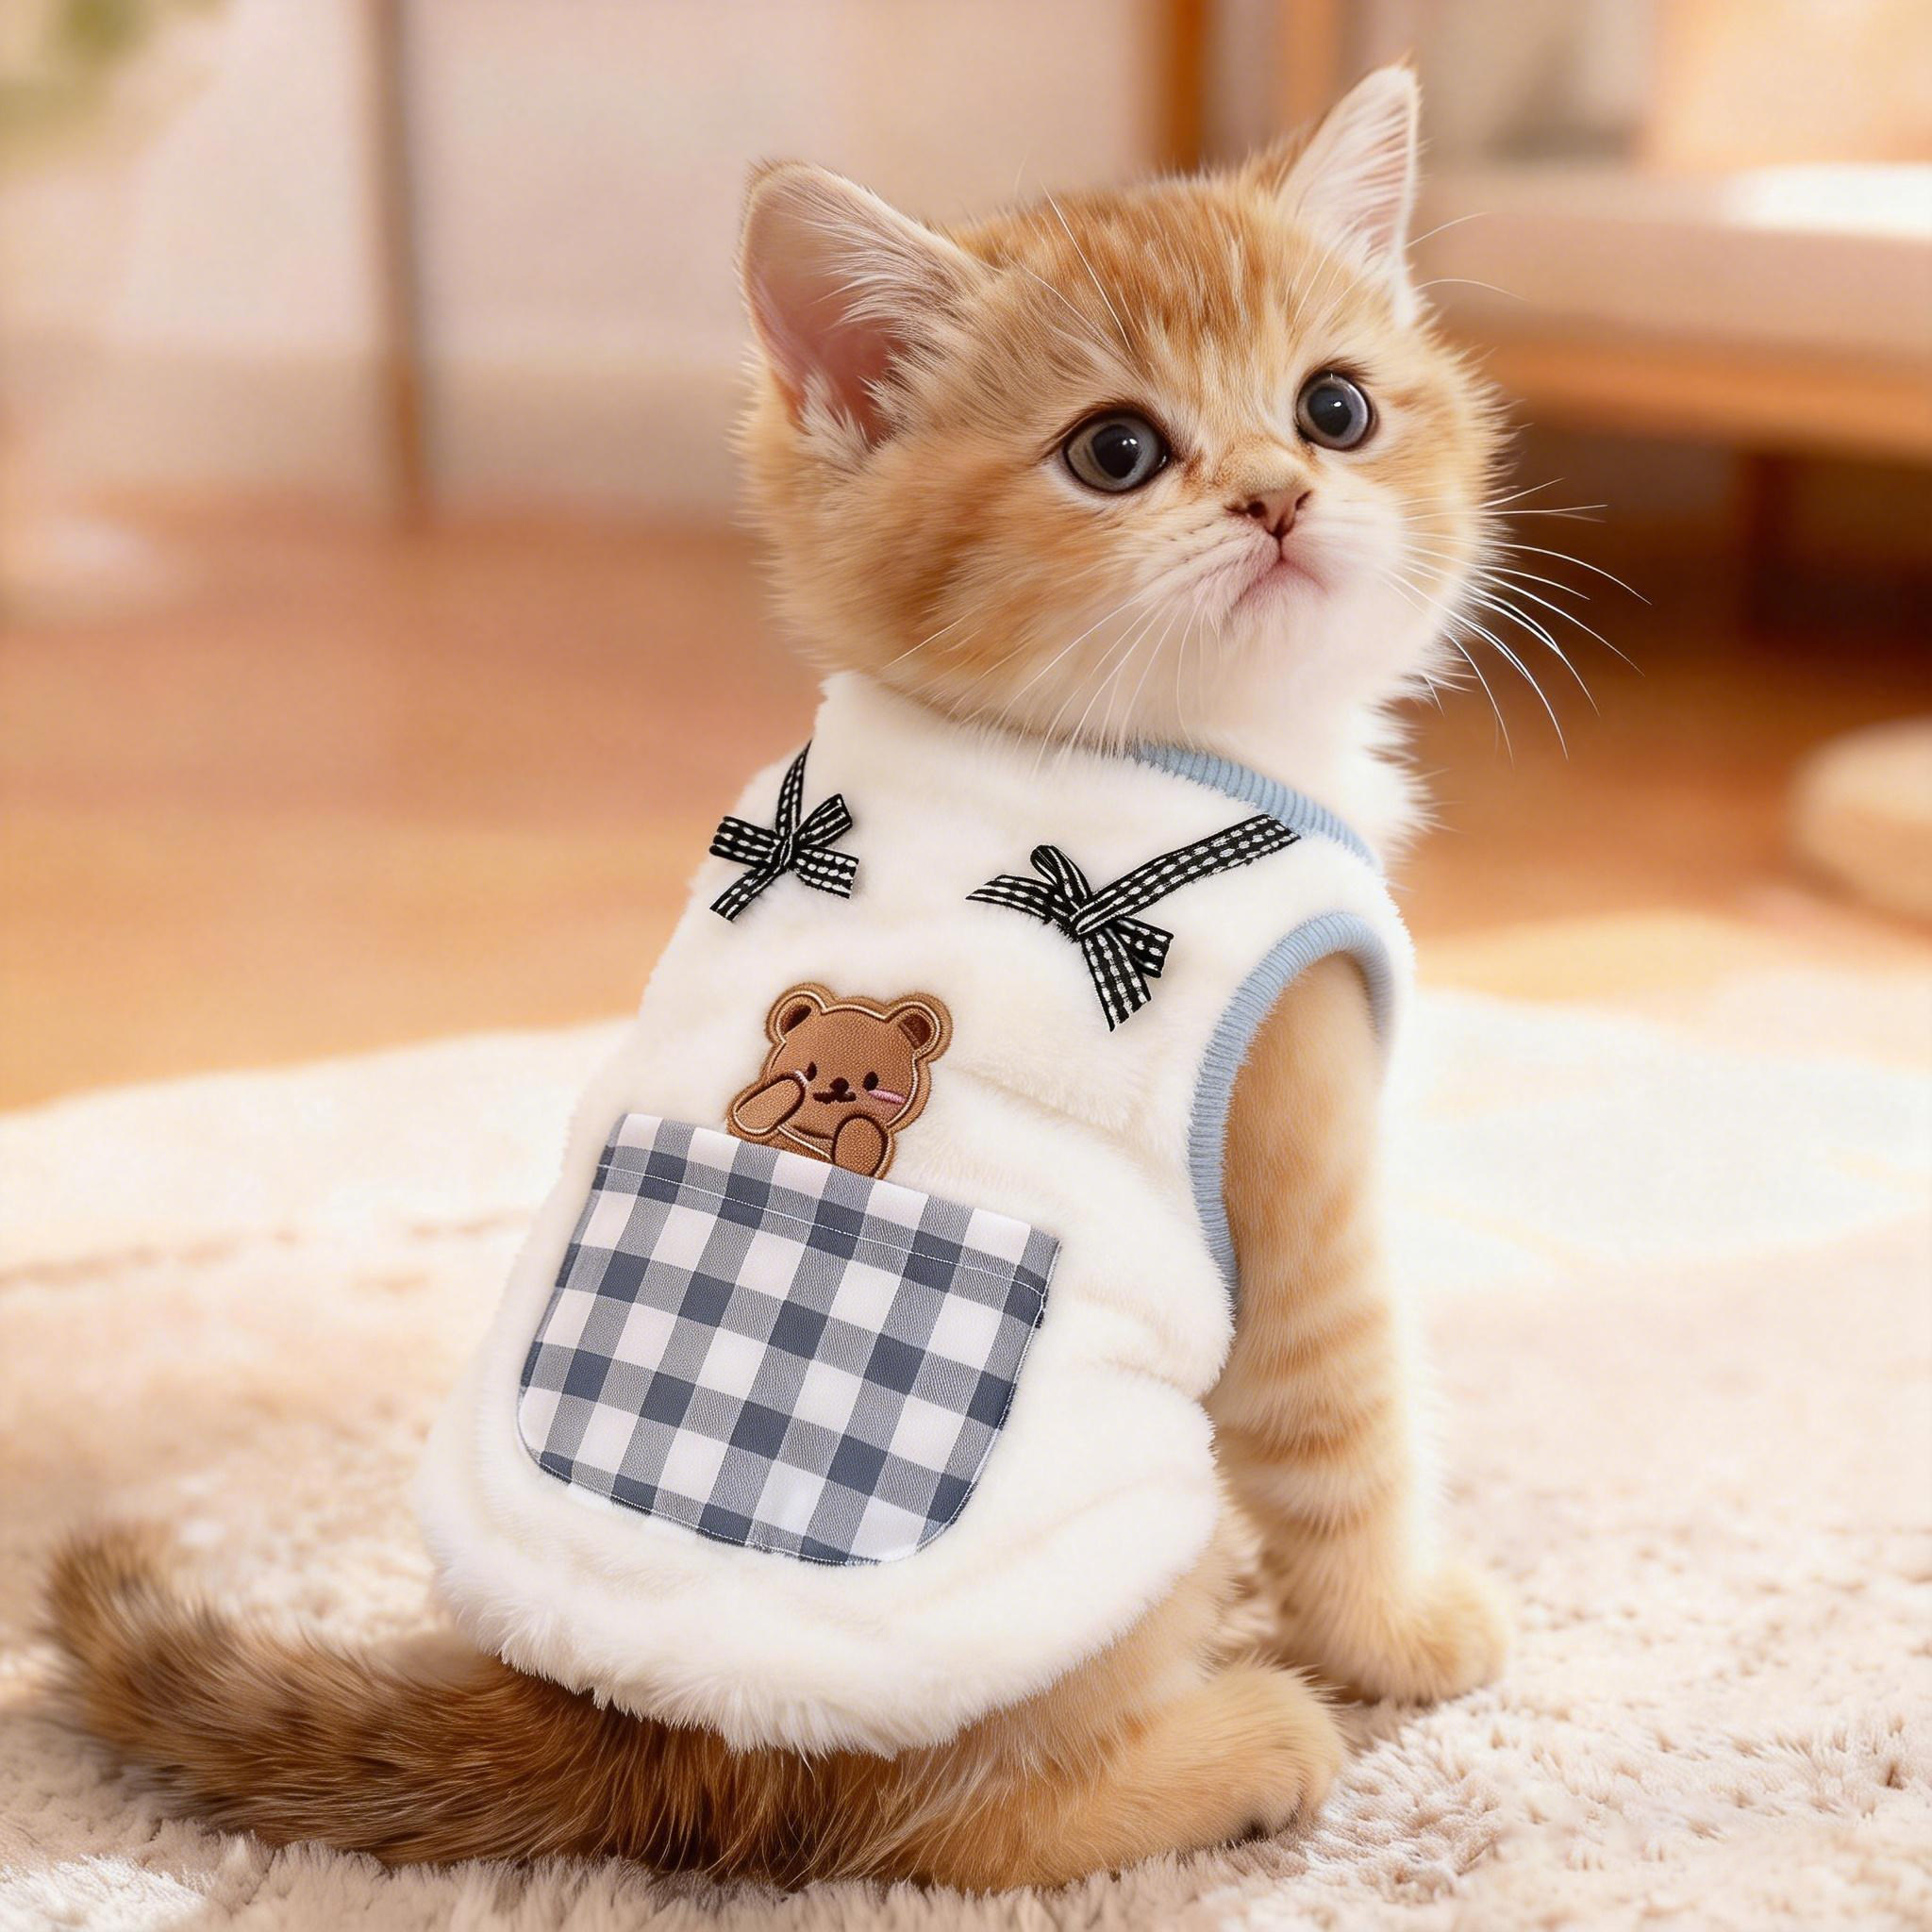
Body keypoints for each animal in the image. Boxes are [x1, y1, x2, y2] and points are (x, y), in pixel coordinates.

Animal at [727, 982, 952, 1179]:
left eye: (872, 1081)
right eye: (810, 1071)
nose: (839, 1084)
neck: (813, 1136)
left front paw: (860, 1129)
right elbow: (752, 1115)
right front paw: (789, 1086)